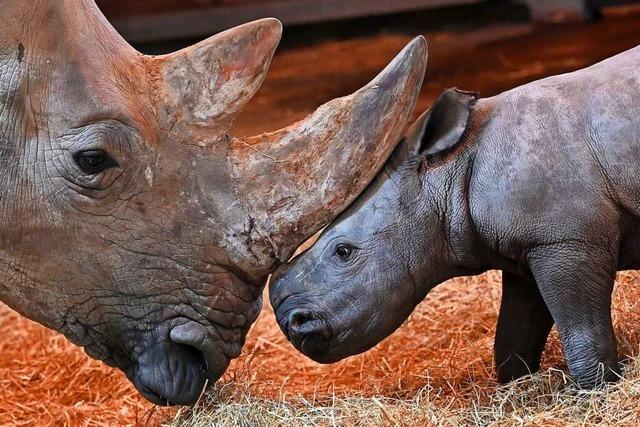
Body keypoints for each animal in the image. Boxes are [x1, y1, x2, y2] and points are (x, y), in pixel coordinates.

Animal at [270, 45, 640, 390]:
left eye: (343, 252)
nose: (292, 323)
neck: (447, 168)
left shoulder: (566, 240)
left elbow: (582, 331)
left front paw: (596, 390)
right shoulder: (527, 247)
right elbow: (515, 333)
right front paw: (515, 386)